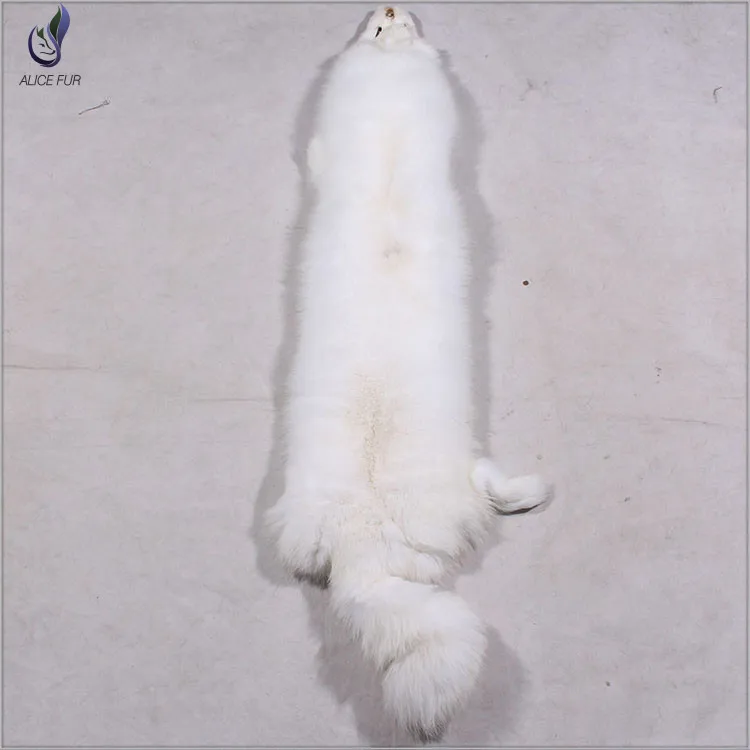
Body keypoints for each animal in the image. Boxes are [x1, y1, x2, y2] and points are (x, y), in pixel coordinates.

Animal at [266, 6, 552, 742]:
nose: (391, 9)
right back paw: (535, 488)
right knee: (492, 491)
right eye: (374, 28)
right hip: (453, 479)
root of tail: (365, 543)